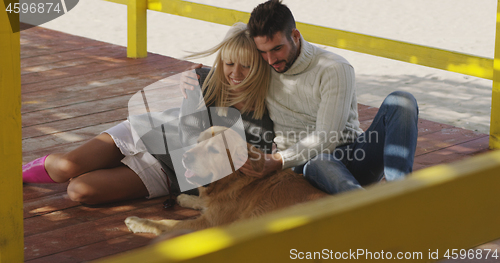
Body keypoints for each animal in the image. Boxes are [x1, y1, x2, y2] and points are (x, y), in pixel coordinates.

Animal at [125, 127, 328, 236]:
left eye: (214, 150)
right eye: (197, 142)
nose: (184, 157)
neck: (236, 181)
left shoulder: (209, 225)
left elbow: (168, 223)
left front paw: (138, 222)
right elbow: (201, 202)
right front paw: (186, 198)